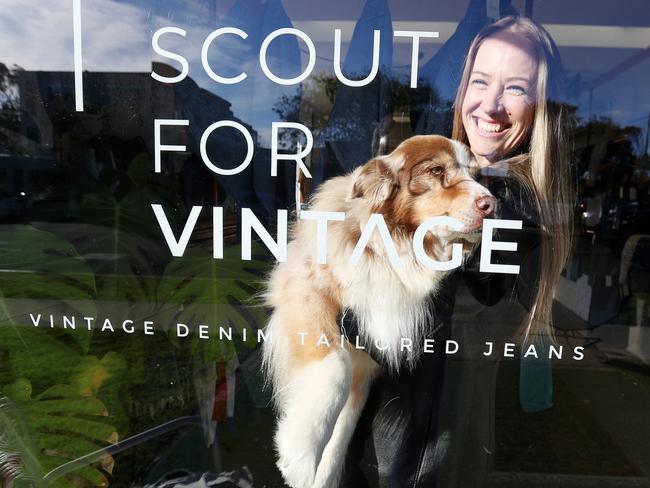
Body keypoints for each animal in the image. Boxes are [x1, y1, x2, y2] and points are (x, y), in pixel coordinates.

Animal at [260, 134, 494, 488]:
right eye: (436, 170)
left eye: (477, 175)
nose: (492, 204)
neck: (393, 247)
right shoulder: (305, 291)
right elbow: (335, 370)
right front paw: (299, 453)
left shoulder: (366, 361)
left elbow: (342, 432)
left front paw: (320, 476)